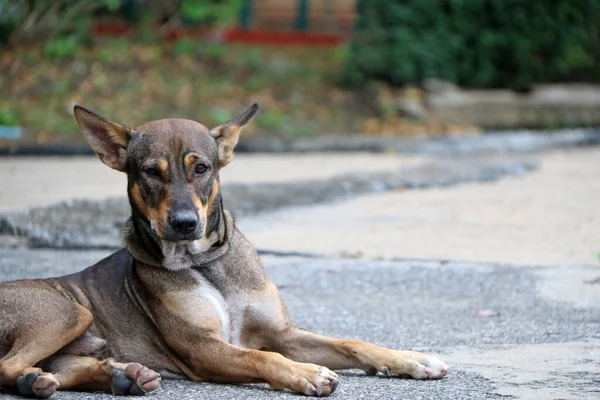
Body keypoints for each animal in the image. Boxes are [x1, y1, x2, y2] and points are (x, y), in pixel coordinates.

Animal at [0, 104, 448, 398]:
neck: (203, 263)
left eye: (202, 168)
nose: (184, 223)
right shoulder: (204, 349)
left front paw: (411, 360)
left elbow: (352, 343)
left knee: (56, 369)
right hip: (69, 311)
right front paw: (305, 373)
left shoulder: (281, 333)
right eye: (150, 172)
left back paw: (112, 377)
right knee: (8, 366)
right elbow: (261, 359)